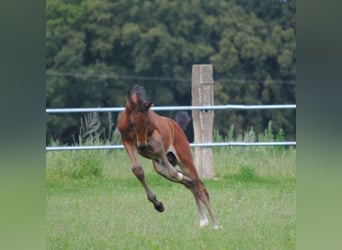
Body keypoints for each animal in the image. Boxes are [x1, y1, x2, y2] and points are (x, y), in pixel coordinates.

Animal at [117, 85, 219, 229]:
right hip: (160, 168)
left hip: (185, 160)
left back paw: (215, 224)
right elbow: (137, 170)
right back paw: (203, 220)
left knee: (199, 186)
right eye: (133, 123)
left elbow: (159, 147)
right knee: (191, 183)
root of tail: (176, 125)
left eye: (148, 122)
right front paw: (158, 205)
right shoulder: (127, 141)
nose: (142, 146)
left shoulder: (155, 136)